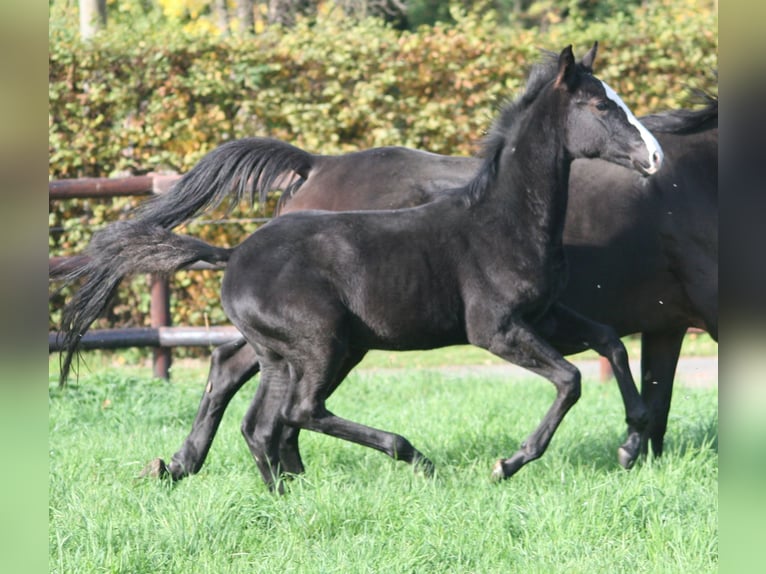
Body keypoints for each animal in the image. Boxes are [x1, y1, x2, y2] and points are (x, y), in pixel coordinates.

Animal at [60, 42, 664, 488]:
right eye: (600, 106)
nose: (655, 156)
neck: (502, 219)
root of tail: (234, 254)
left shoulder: (545, 316)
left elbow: (610, 342)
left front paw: (631, 443)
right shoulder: (495, 329)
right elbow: (570, 379)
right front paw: (509, 463)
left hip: (294, 353)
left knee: (258, 415)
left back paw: (263, 486)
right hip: (322, 344)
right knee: (298, 410)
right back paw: (411, 457)